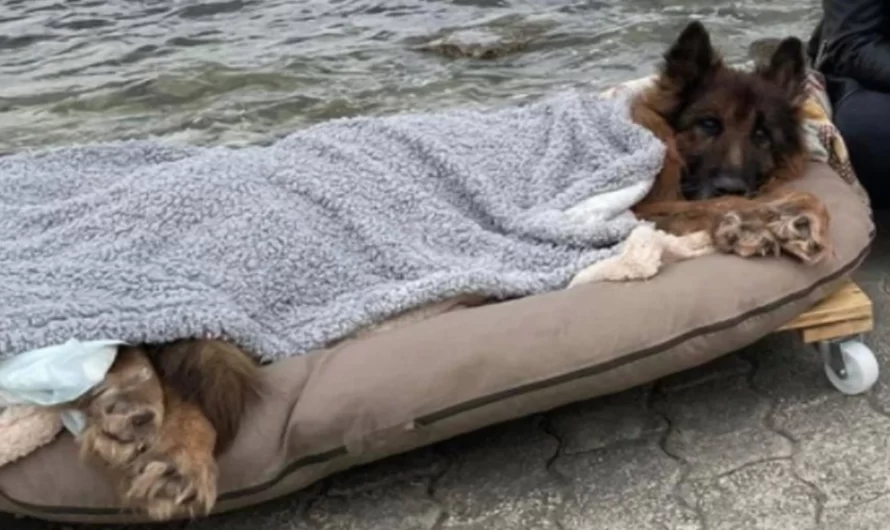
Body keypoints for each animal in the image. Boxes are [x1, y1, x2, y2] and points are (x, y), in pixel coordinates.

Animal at [69, 18, 824, 516]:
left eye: (761, 134)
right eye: (707, 125)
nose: (734, 183)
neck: (651, 132)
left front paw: (765, 217)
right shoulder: (637, 207)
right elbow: (728, 209)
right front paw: (772, 218)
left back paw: (135, 416)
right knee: (160, 344)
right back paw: (164, 443)